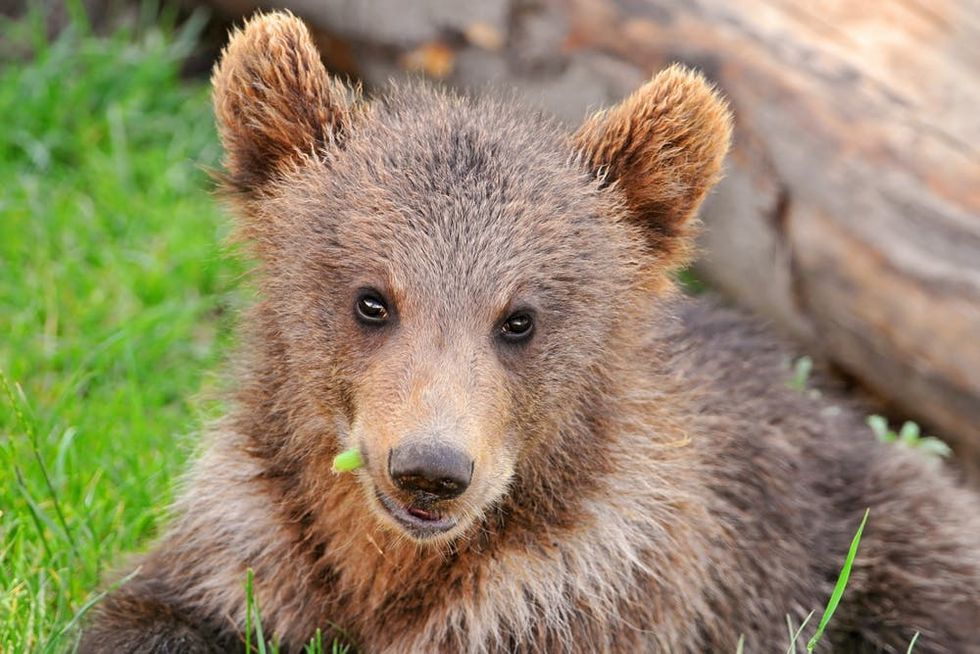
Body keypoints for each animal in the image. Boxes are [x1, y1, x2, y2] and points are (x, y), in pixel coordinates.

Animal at [79, 11, 980, 653]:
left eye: (520, 318)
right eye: (372, 299)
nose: (430, 470)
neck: (389, 569)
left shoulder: (582, 589)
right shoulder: (250, 544)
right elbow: (147, 613)